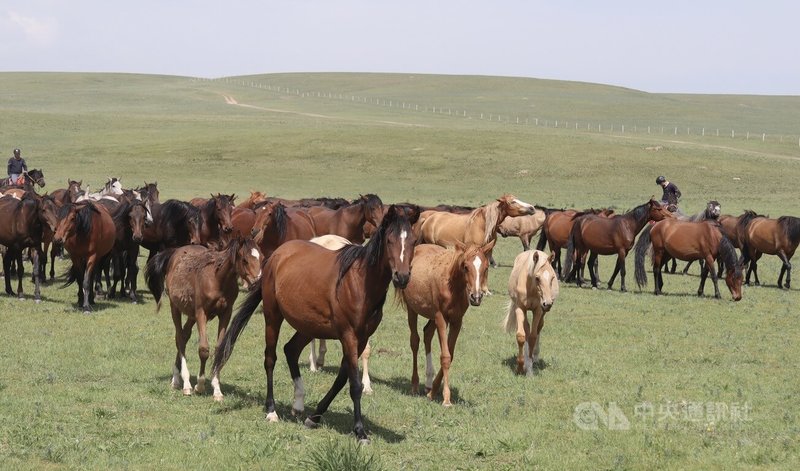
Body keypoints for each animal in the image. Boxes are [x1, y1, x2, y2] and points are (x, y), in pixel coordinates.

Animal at [145, 238, 264, 400]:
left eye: (262, 258)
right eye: (244, 260)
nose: (258, 283)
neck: (217, 279)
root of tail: (175, 251)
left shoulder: (226, 313)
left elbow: (219, 349)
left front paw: (217, 390)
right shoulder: (202, 313)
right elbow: (203, 349)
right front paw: (199, 386)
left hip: (191, 314)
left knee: (184, 335)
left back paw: (177, 378)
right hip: (175, 308)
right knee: (179, 339)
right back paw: (183, 382)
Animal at [212, 205, 424, 444]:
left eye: (413, 241)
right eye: (389, 240)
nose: (402, 277)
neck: (360, 282)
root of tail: (276, 256)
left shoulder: (361, 338)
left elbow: (342, 379)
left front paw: (314, 417)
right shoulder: (349, 336)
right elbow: (354, 384)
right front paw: (360, 431)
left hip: (308, 326)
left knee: (291, 350)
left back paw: (298, 404)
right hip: (273, 317)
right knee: (270, 359)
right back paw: (271, 410)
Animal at [400, 242, 494, 408]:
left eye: (486, 267)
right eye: (465, 266)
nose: (476, 297)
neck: (453, 287)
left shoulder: (456, 321)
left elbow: (450, 354)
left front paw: (433, 392)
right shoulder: (441, 319)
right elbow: (445, 356)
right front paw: (446, 399)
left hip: (431, 317)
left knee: (427, 334)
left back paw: (428, 385)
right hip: (413, 310)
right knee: (415, 341)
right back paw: (415, 385)